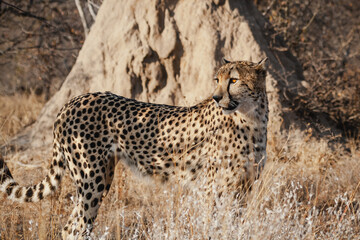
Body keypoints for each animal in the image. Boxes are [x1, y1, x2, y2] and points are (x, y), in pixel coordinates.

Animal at [0, 57, 268, 238]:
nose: (216, 97)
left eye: (234, 80)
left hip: (102, 176)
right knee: (76, 226)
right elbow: (211, 227)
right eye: (217, 80)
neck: (251, 118)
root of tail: (72, 101)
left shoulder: (243, 188)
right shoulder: (210, 190)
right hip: (91, 179)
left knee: (71, 226)